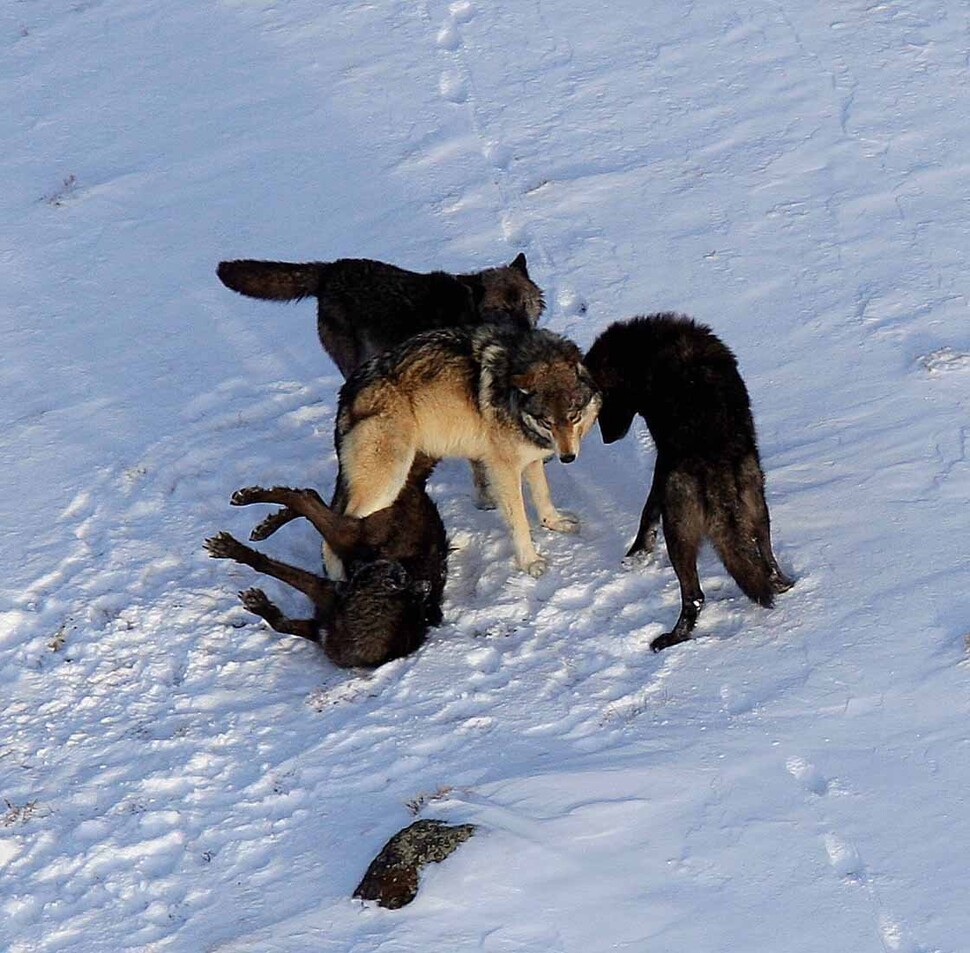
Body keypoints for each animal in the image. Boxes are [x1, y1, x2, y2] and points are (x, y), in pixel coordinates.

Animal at [206, 456, 448, 668]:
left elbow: (280, 619)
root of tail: (417, 484)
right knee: (307, 498)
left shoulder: (321, 606)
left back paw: (259, 514)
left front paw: (252, 591)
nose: (398, 566)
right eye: (401, 576)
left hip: (346, 536)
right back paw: (258, 509)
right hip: (349, 535)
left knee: (307, 499)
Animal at [334, 328, 604, 576]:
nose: (567, 457)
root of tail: (348, 390)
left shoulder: (531, 459)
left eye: (574, 416)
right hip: (387, 482)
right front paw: (530, 562)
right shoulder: (504, 469)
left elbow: (543, 495)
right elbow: (519, 520)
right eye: (547, 422)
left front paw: (555, 523)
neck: (513, 400)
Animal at [580, 316, 792, 652]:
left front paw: (637, 553)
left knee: (694, 596)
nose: (606, 439)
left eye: (602, 404)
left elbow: (647, 512)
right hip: (758, 509)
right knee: (767, 563)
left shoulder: (662, 465)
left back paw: (671, 639)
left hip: (678, 532)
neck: (648, 350)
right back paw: (784, 585)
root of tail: (717, 469)